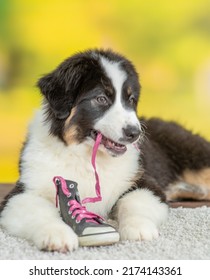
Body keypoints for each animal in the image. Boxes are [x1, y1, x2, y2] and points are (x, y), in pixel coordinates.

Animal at [0, 48, 210, 252]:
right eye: (101, 98)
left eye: (131, 99)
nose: (135, 133)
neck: (86, 157)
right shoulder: (23, 192)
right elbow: (39, 211)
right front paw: (57, 235)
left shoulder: (144, 180)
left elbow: (132, 202)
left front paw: (138, 228)